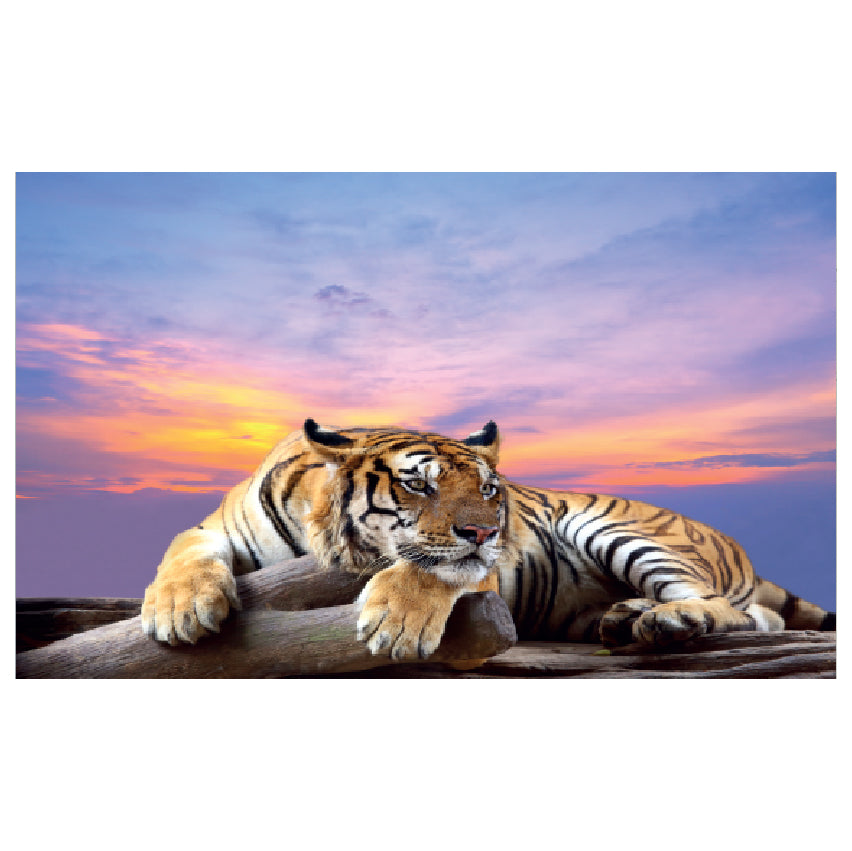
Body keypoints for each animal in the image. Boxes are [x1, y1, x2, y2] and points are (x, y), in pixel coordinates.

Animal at [141, 419, 836, 660]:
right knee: (763, 619)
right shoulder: (212, 529)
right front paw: (180, 610)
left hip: (615, 528)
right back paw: (625, 616)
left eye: (489, 489)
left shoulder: (479, 564)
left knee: (736, 611)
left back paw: (669, 619)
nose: (484, 529)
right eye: (418, 485)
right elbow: (182, 551)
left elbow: (431, 566)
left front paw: (395, 624)